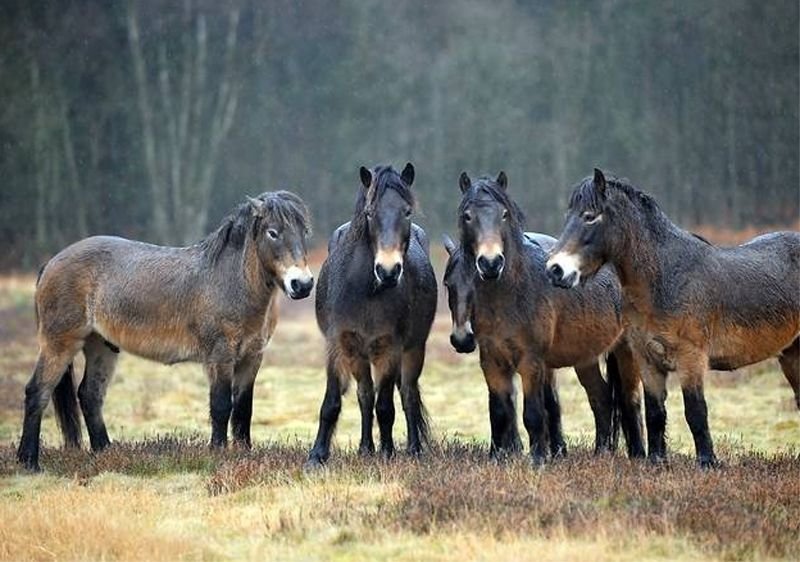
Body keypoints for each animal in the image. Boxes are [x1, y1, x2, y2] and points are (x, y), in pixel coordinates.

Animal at [18, 190, 312, 470]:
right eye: (273, 232)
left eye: (305, 231)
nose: (303, 284)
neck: (230, 282)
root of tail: (51, 263)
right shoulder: (219, 357)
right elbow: (221, 406)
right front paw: (218, 455)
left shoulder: (251, 358)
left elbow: (243, 410)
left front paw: (244, 454)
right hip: (59, 344)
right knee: (37, 392)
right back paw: (29, 462)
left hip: (101, 345)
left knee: (90, 395)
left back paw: (105, 453)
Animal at [308, 164, 438, 466]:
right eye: (369, 212)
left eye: (407, 211)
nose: (388, 271)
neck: (365, 292)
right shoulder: (340, 344)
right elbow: (333, 402)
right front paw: (317, 455)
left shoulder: (390, 348)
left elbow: (386, 406)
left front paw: (388, 452)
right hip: (359, 355)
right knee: (365, 394)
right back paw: (365, 447)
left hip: (413, 349)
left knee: (407, 394)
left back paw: (413, 449)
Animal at [552, 168, 800, 466]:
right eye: (568, 215)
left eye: (590, 216)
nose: (555, 269)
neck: (665, 278)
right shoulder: (648, 361)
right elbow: (655, 413)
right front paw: (656, 461)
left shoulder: (690, 359)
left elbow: (695, 413)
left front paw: (707, 463)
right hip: (792, 354)